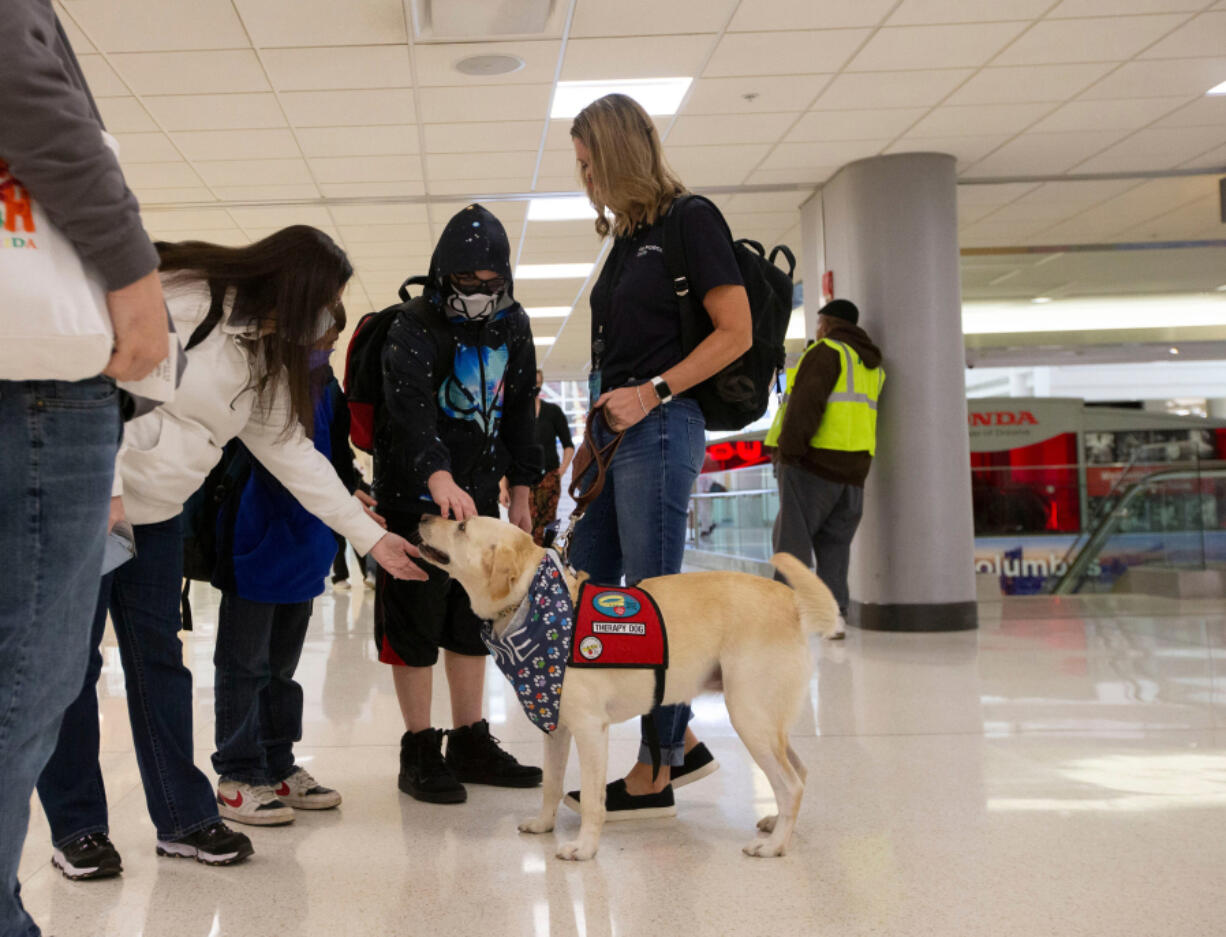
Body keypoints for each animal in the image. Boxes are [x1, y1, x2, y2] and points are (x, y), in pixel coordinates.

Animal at [416, 515, 838, 858]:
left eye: (461, 526)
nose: (423, 514)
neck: (532, 605)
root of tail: (790, 600)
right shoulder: (558, 728)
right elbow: (551, 784)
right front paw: (544, 825)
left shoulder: (590, 730)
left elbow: (592, 800)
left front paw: (585, 848)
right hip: (767, 720)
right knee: (799, 772)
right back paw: (777, 823)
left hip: (750, 716)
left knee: (791, 785)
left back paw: (774, 845)